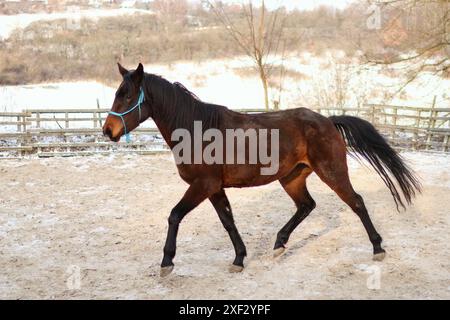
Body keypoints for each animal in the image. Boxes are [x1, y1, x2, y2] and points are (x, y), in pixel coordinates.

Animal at [103, 63, 420, 278]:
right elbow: (228, 222)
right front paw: (239, 259)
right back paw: (279, 244)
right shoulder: (215, 188)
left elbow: (174, 215)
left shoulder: (203, 185)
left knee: (356, 202)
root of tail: (328, 121)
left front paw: (167, 262)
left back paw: (378, 249)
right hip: (291, 178)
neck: (197, 130)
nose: (108, 130)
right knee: (307, 205)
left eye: (127, 96)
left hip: (332, 172)